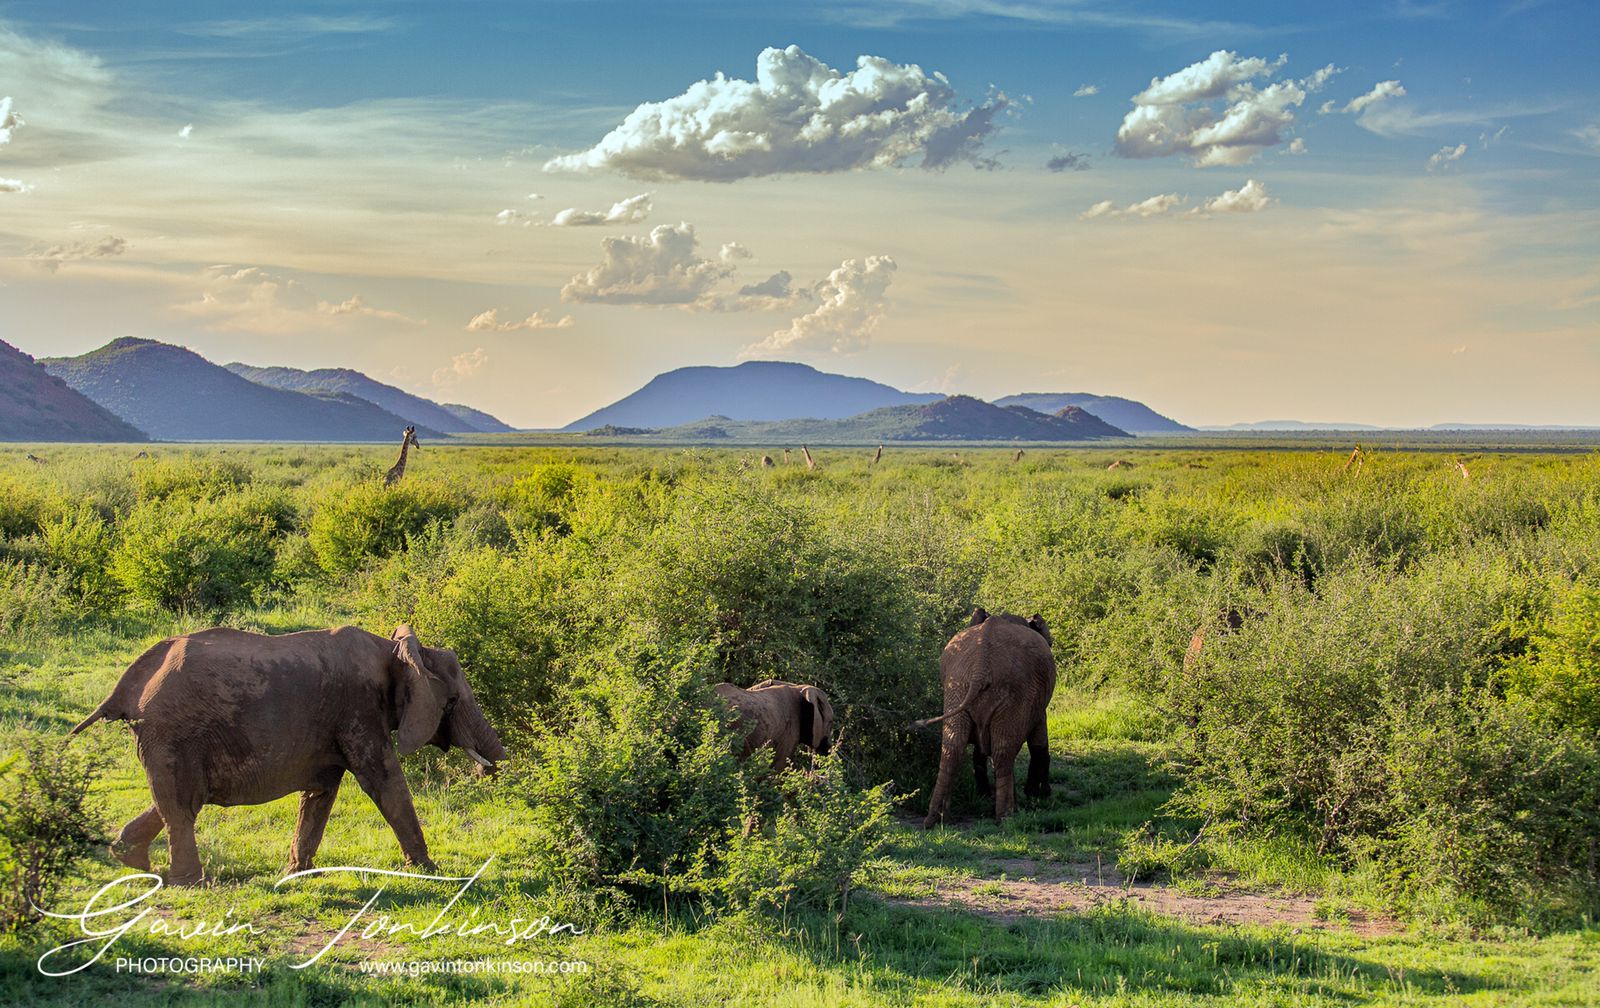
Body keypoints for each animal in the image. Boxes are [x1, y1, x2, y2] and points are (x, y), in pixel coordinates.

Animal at [67, 624, 505, 883]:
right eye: (452, 702)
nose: (486, 771)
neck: (397, 650)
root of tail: (126, 687)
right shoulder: (360, 711)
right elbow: (383, 782)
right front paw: (432, 872)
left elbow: (322, 792)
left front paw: (296, 875)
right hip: (172, 732)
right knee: (183, 804)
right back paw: (189, 882)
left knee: (179, 800)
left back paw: (130, 859)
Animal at [921, 608, 1056, 832]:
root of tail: (980, 667)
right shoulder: (1034, 701)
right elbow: (1039, 743)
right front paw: (1040, 795)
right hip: (1013, 693)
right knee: (1003, 753)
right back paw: (1007, 819)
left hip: (957, 687)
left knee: (952, 749)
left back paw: (936, 821)